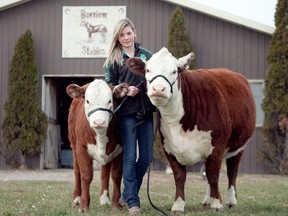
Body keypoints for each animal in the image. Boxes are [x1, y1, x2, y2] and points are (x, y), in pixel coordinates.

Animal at [66, 79, 122, 213]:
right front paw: (84, 205)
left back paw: (104, 199)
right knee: (77, 171)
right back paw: (77, 198)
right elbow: (86, 175)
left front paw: (116, 204)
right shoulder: (81, 148)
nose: (99, 122)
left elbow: (116, 175)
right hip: (73, 145)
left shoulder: (120, 149)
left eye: (109, 101)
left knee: (105, 171)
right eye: (87, 101)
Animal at [126, 47, 254, 214]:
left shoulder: (216, 146)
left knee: (232, 171)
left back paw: (230, 201)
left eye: (174, 71)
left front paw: (217, 203)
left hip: (238, 146)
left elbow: (214, 175)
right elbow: (180, 177)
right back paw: (206, 200)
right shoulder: (169, 148)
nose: (158, 89)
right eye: (148, 70)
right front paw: (178, 205)